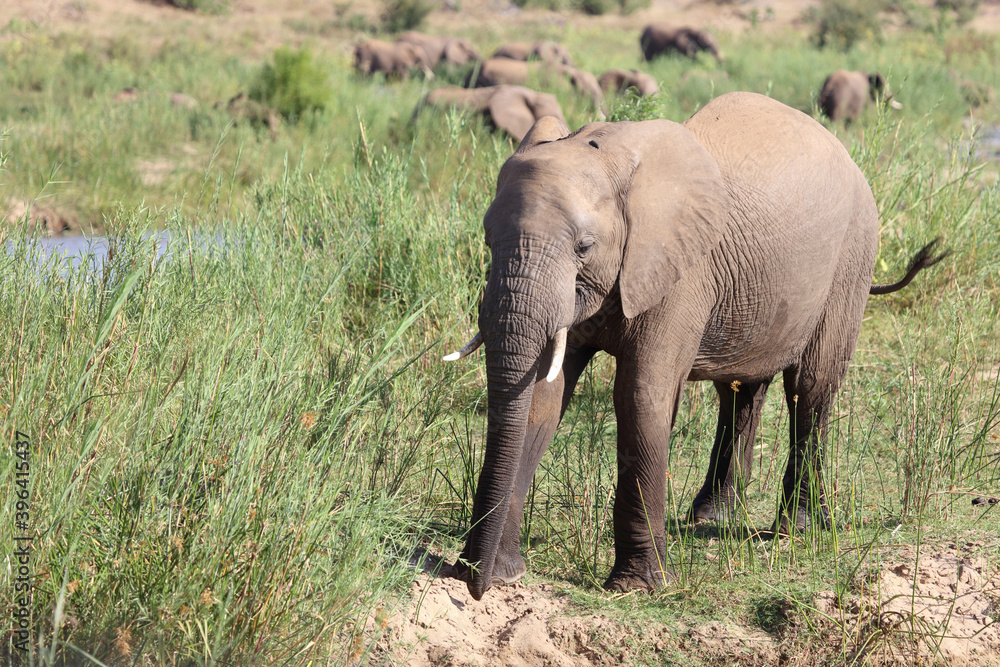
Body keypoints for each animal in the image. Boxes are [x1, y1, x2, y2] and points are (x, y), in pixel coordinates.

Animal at [442, 91, 946, 600]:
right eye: (488, 239)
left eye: (584, 246)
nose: (473, 583)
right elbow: (542, 399)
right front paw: (503, 574)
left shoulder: (680, 273)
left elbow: (641, 396)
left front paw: (637, 588)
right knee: (740, 390)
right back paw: (710, 516)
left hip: (852, 257)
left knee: (810, 387)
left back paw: (798, 528)